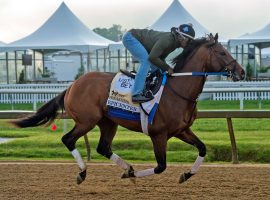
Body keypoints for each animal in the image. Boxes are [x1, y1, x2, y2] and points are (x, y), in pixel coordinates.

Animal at [12, 33, 245, 184]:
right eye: (222, 52)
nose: (241, 72)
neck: (177, 91)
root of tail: (73, 85)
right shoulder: (158, 134)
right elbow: (161, 167)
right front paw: (132, 175)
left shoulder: (181, 130)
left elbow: (203, 148)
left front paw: (186, 175)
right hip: (87, 120)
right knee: (68, 139)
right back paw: (83, 172)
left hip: (108, 122)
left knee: (103, 148)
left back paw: (126, 168)